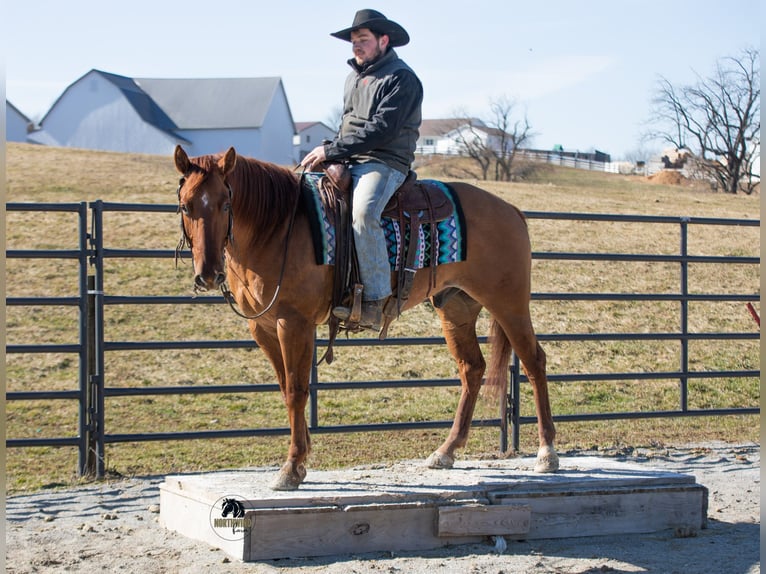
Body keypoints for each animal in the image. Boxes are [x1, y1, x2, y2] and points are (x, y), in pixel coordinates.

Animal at [173, 145, 558, 490]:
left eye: (225, 204)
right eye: (186, 205)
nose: (208, 274)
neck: (277, 226)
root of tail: (511, 210)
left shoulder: (293, 323)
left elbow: (297, 390)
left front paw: (292, 467)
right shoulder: (262, 327)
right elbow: (285, 388)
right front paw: (302, 457)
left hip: (508, 304)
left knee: (533, 362)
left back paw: (547, 453)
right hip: (456, 308)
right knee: (472, 369)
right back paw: (446, 451)